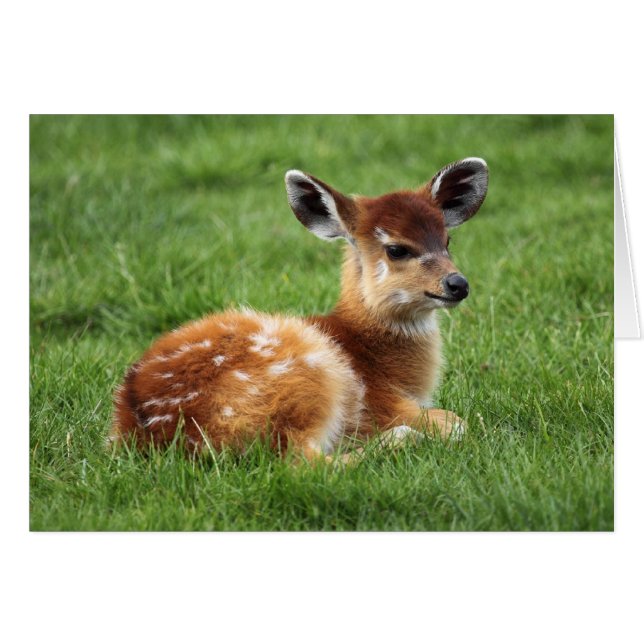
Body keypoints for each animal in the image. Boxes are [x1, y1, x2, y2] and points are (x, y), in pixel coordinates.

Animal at [110, 157, 489, 462]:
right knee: (303, 461)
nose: (458, 283)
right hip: (310, 378)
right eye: (396, 249)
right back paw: (399, 439)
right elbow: (458, 422)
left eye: (447, 241)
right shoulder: (383, 404)